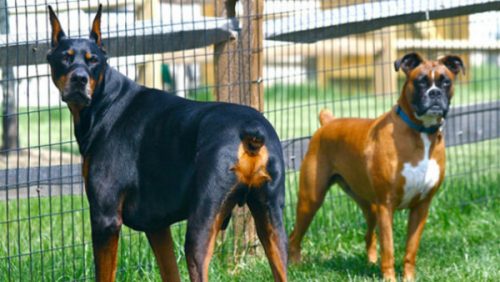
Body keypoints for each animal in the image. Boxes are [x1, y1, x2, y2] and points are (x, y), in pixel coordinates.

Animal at [290, 52, 464, 280]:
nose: (434, 93)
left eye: (446, 82)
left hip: (368, 205)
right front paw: (389, 278)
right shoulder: (386, 206)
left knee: (368, 236)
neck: (421, 133)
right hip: (311, 200)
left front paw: (408, 277)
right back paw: (295, 266)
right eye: (420, 81)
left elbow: (411, 249)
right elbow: (388, 248)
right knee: (294, 236)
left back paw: (371, 262)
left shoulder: (421, 206)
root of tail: (328, 122)